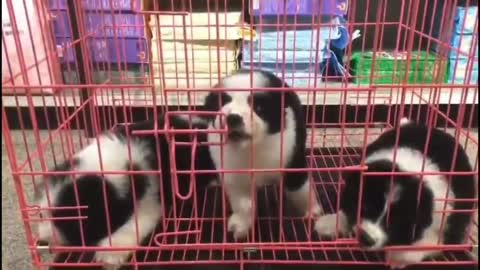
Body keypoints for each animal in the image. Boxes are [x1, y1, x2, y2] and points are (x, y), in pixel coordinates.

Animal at [37, 114, 216, 270]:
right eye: (40, 214)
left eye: (69, 222)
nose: (41, 243)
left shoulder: (150, 194)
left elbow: (138, 221)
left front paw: (110, 254)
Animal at [202, 70, 322, 240]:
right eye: (221, 104)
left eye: (258, 108)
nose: (233, 117)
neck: (253, 149)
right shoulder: (233, 174)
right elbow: (243, 203)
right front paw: (242, 224)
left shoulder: (293, 160)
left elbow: (300, 190)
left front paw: (312, 211)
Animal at [316, 117, 476, 268]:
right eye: (365, 206)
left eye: (395, 220)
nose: (366, 237)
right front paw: (331, 222)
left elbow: (425, 243)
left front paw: (397, 257)